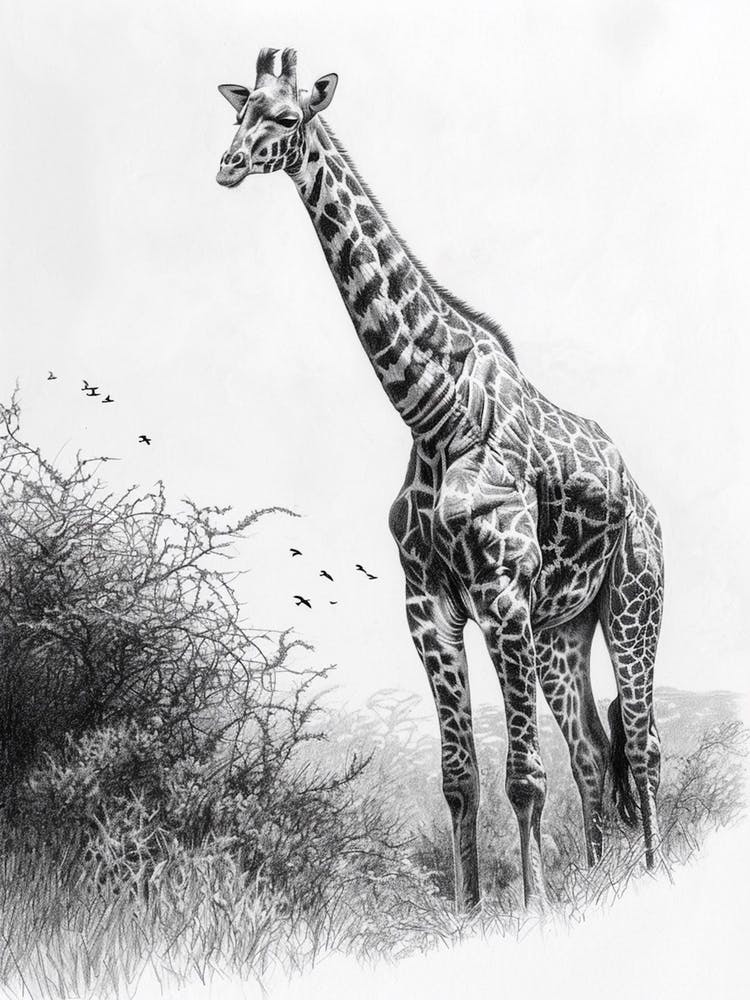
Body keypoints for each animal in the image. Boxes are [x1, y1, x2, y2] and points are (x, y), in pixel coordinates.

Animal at [215, 47, 664, 909]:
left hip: (633, 602)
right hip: (564, 630)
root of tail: (646, 502)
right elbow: (460, 777)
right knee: (595, 747)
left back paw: (654, 876)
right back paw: (602, 876)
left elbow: (523, 775)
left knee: (645, 741)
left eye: (285, 117)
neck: (433, 410)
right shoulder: (427, 602)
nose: (225, 164)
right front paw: (470, 908)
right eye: (237, 111)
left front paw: (533, 908)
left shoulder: (504, 594)